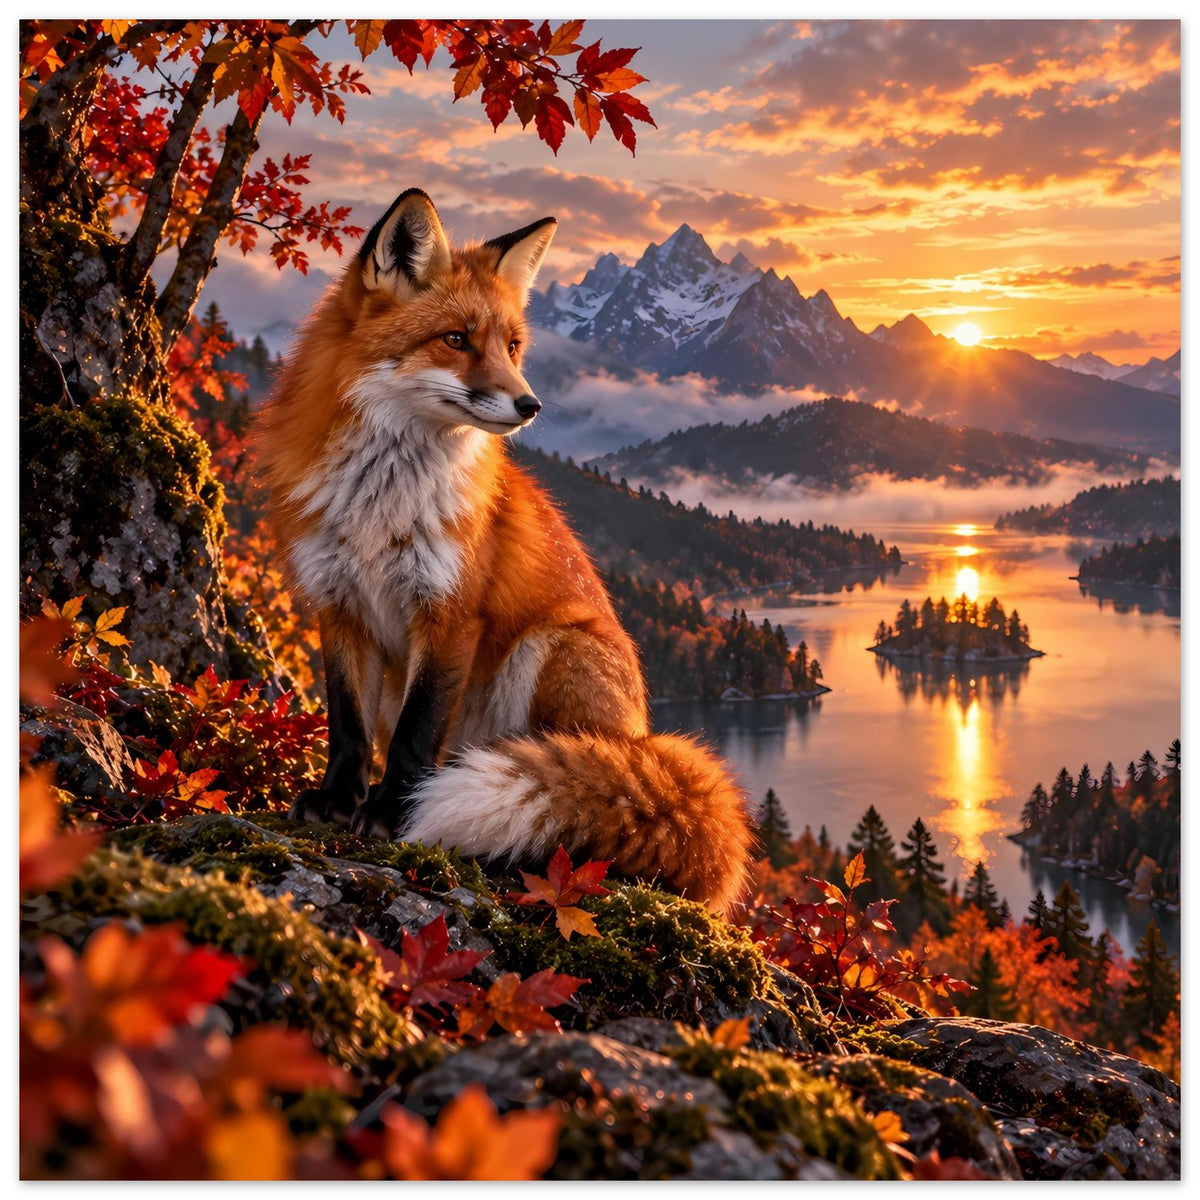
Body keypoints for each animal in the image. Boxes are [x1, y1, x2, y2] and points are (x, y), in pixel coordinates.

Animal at [255, 188, 753, 914]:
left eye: (513, 345)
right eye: (457, 339)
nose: (530, 404)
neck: (381, 503)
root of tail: (644, 738)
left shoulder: (450, 612)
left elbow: (415, 734)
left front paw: (392, 814)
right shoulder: (338, 604)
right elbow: (347, 727)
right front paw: (336, 801)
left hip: (549, 646)